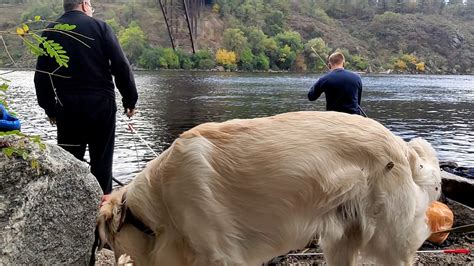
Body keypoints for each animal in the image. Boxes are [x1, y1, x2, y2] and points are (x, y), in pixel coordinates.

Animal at [98, 111, 442, 264]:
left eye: (111, 243)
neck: (160, 202)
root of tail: (402, 146)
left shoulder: (220, 256)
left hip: (387, 241)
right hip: (340, 241)